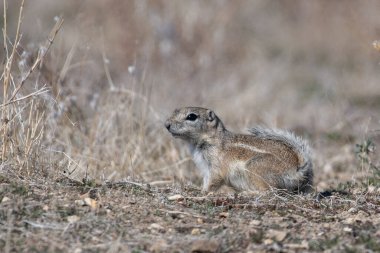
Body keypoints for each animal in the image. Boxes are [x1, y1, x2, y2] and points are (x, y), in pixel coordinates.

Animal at [165, 107, 314, 194]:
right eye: (175, 110)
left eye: (192, 116)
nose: (167, 124)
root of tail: (298, 169)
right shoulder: (206, 167)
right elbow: (207, 179)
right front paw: (198, 189)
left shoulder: (217, 166)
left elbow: (214, 180)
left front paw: (204, 192)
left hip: (255, 168)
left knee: (269, 191)